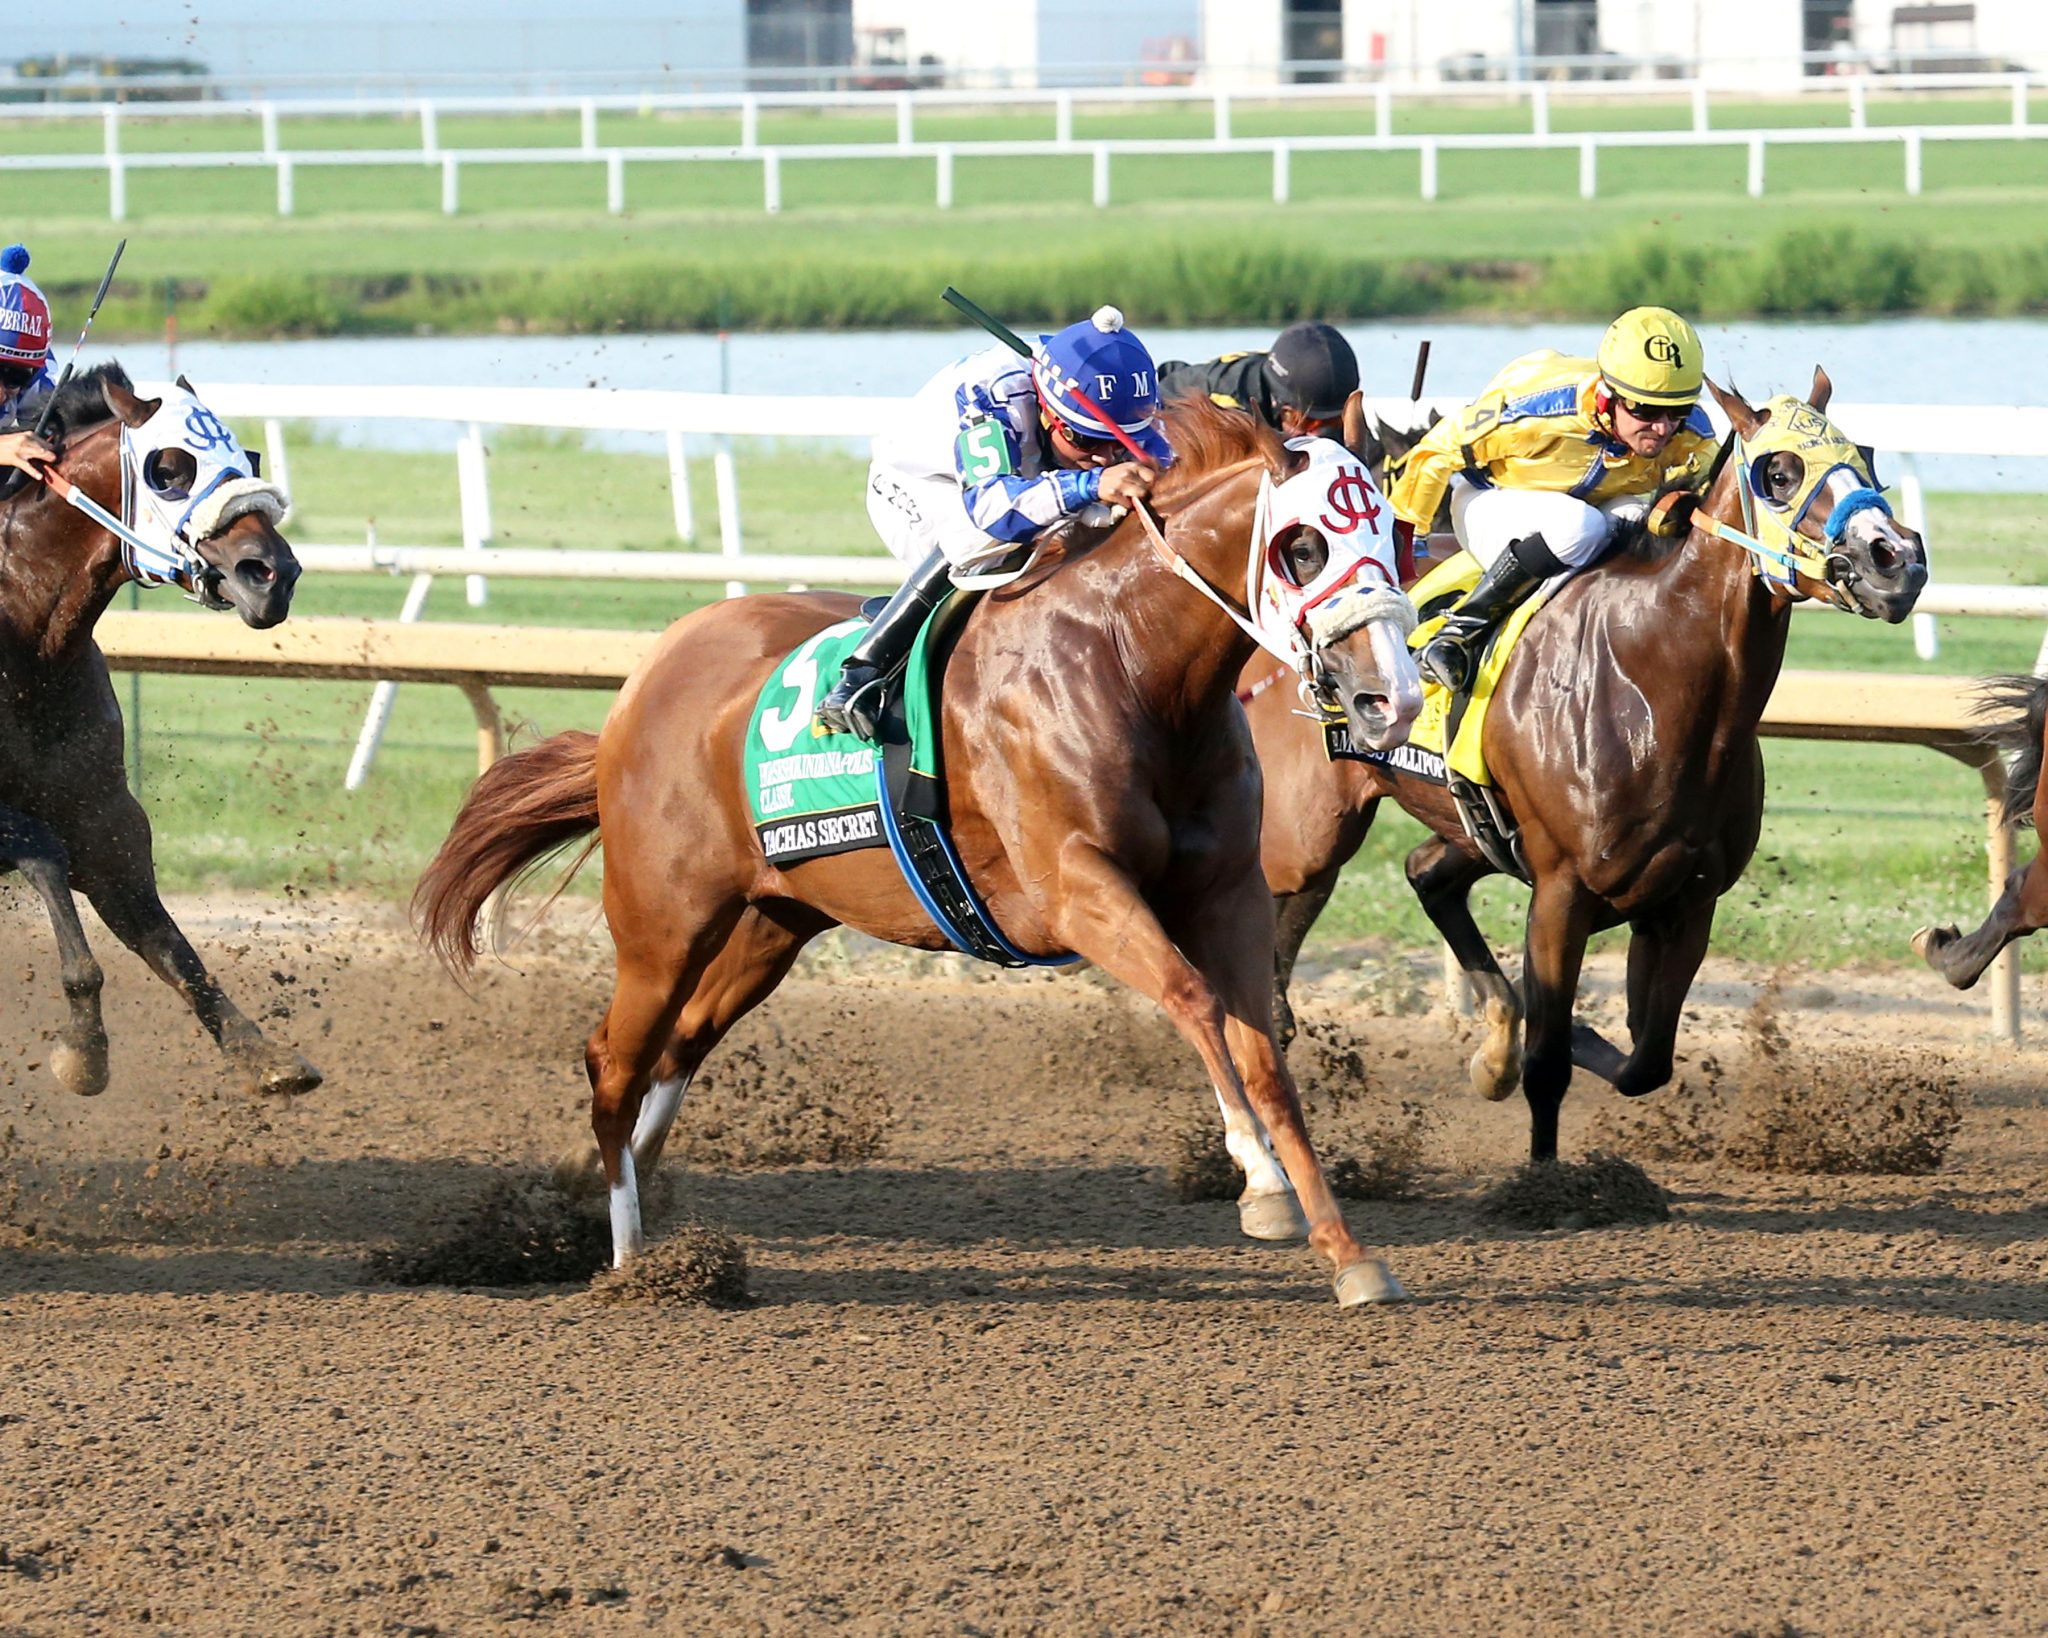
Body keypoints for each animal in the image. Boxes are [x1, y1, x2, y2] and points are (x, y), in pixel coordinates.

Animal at [0, 362, 320, 1099]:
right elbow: (46, 855)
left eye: (248, 459)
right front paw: (83, 1049)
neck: (31, 649)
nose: (274, 575)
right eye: (168, 469)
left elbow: (169, 942)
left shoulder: (104, 817)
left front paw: (261, 1053)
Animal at [416, 398, 1426, 1307]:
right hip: (664, 922)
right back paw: (632, 1264)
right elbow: (1193, 1001)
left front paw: (1346, 1253)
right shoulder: (1078, 890)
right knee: (614, 1062)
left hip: (773, 923)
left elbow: (1264, 1054)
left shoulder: (1228, 892)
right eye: (1304, 545)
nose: (1395, 699)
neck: (1129, 662)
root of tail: (644, 678)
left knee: (680, 1047)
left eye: (1396, 529)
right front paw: (1258, 1179)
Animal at [1248, 369, 1928, 1163]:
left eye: (1868, 455)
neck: (1651, 678)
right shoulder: (1561, 893)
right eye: (1780, 473)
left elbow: (1646, 1059)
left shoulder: (1687, 901)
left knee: (1425, 874)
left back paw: (1489, 1046)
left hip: (1467, 824)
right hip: (1310, 829)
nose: (1896, 559)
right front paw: (1546, 1173)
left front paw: (1564, 1037)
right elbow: (1550, 1067)